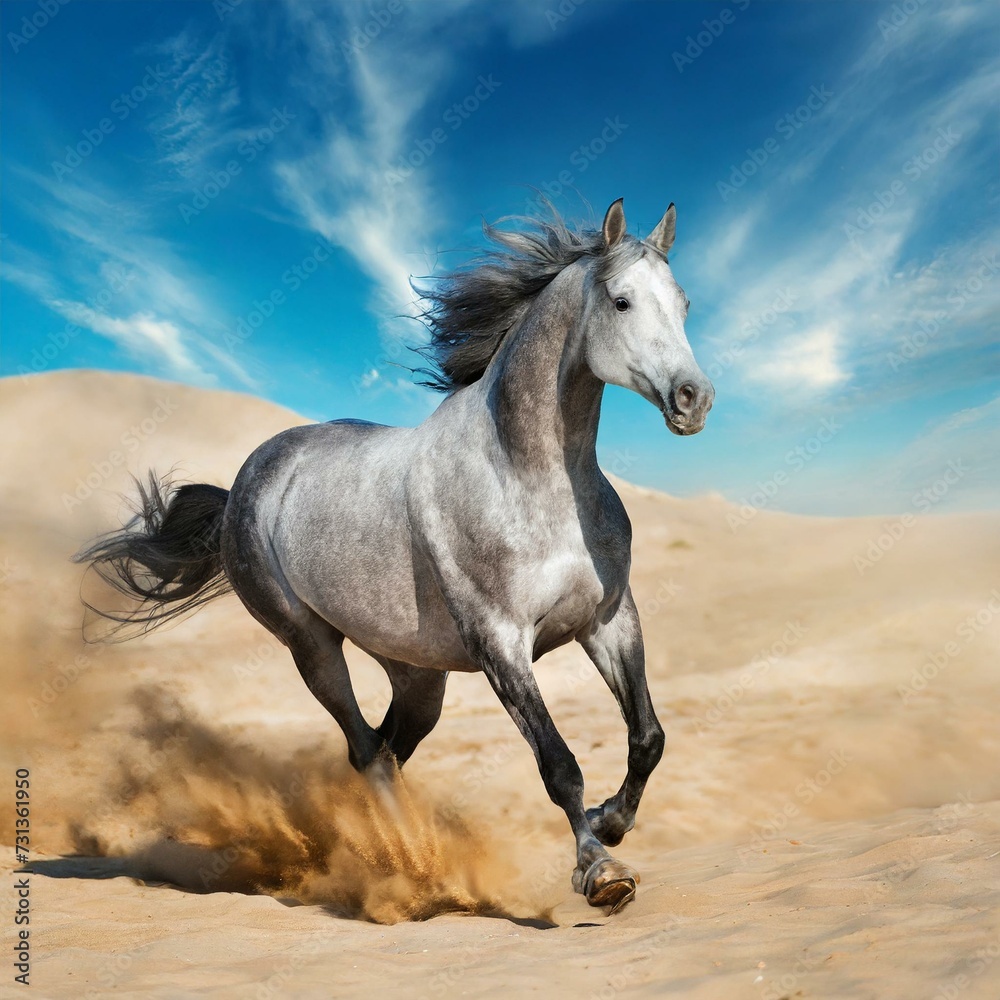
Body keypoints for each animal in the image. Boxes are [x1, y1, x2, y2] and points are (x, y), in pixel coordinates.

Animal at [77, 198, 714, 914]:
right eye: (621, 300)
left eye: (684, 303)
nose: (693, 399)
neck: (533, 477)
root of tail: (247, 481)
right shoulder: (501, 644)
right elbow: (558, 765)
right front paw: (599, 871)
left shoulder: (607, 620)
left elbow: (647, 738)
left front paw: (610, 823)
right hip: (311, 645)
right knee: (365, 751)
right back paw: (411, 874)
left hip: (417, 674)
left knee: (385, 751)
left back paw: (408, 864)